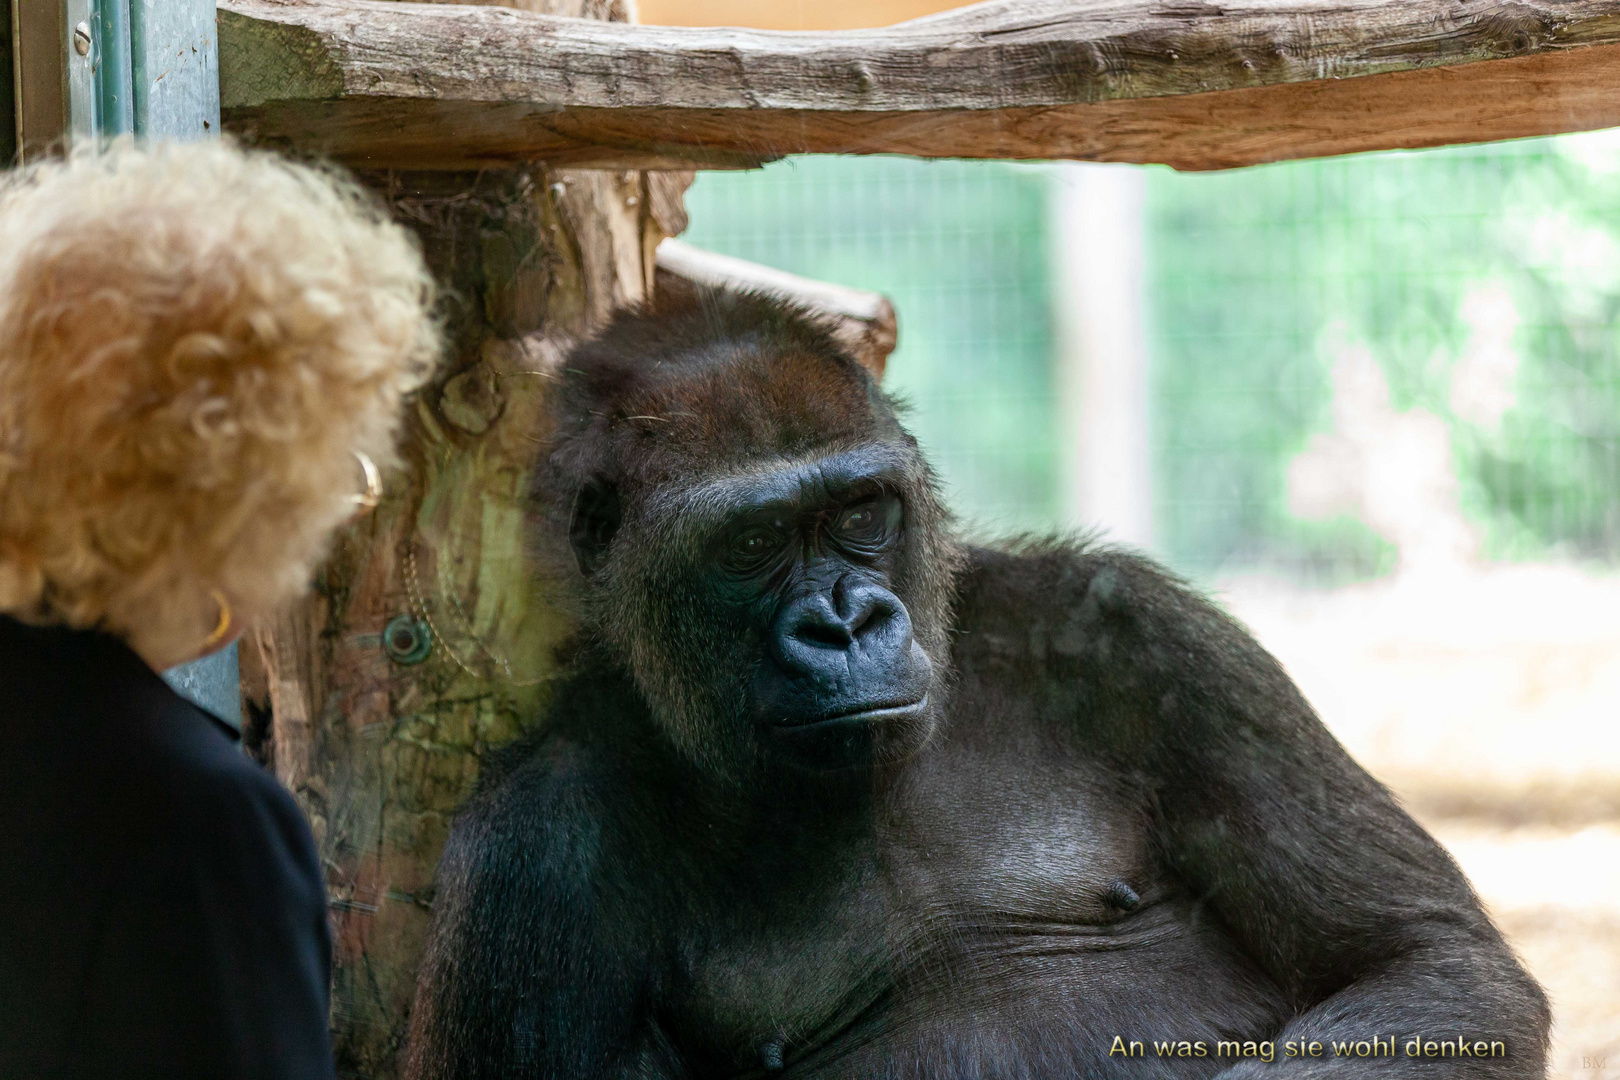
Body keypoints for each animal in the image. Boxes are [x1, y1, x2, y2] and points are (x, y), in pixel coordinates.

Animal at [401, 289, 1542, 1080]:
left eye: (861, 513)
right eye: (755, 542)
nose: (845, 624)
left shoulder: (1141, 638)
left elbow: (1425, 965)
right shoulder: (530, 855)